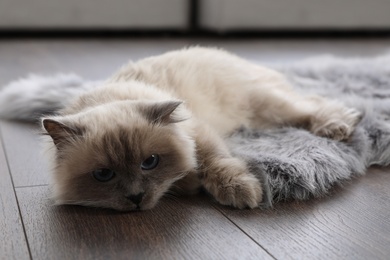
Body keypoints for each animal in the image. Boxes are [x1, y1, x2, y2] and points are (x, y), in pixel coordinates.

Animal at [0, 46, 362, 210]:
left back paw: (338, 126)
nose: (136, 198)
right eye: (103, 175)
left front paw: (241, 193)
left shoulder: (200, 135)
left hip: (269, 109)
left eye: (149, 162)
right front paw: (189, 182)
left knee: (311, 105)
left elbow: (216, 163)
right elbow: (189, 172)